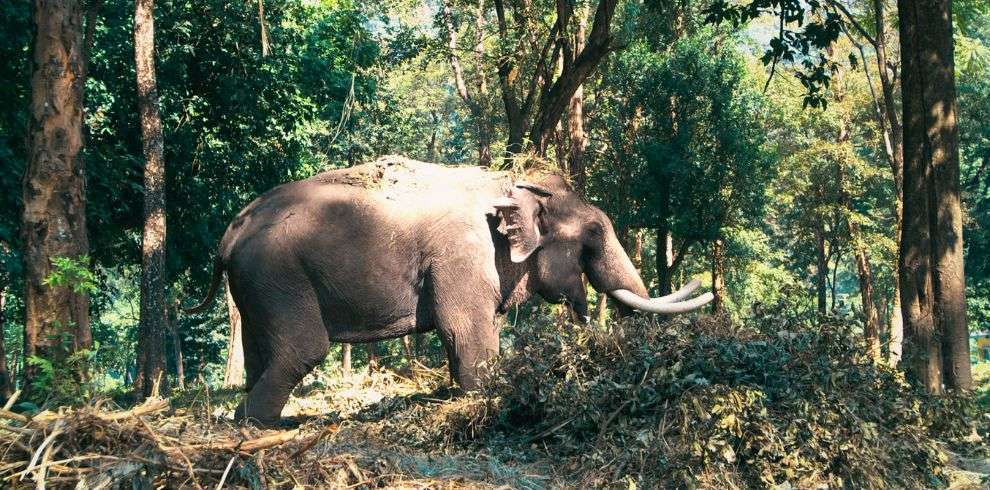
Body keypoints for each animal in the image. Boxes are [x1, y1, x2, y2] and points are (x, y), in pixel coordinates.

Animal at [186, 156, 712, 424]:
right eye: (594, 236)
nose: (706, 288)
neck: (509, 183)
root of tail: (230, 231)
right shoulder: (461, 254)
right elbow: (464, 330)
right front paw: (487, 396)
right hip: (278, 275)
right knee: (302, 348)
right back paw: (260, 428)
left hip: (256, 287)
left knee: (260, 354)